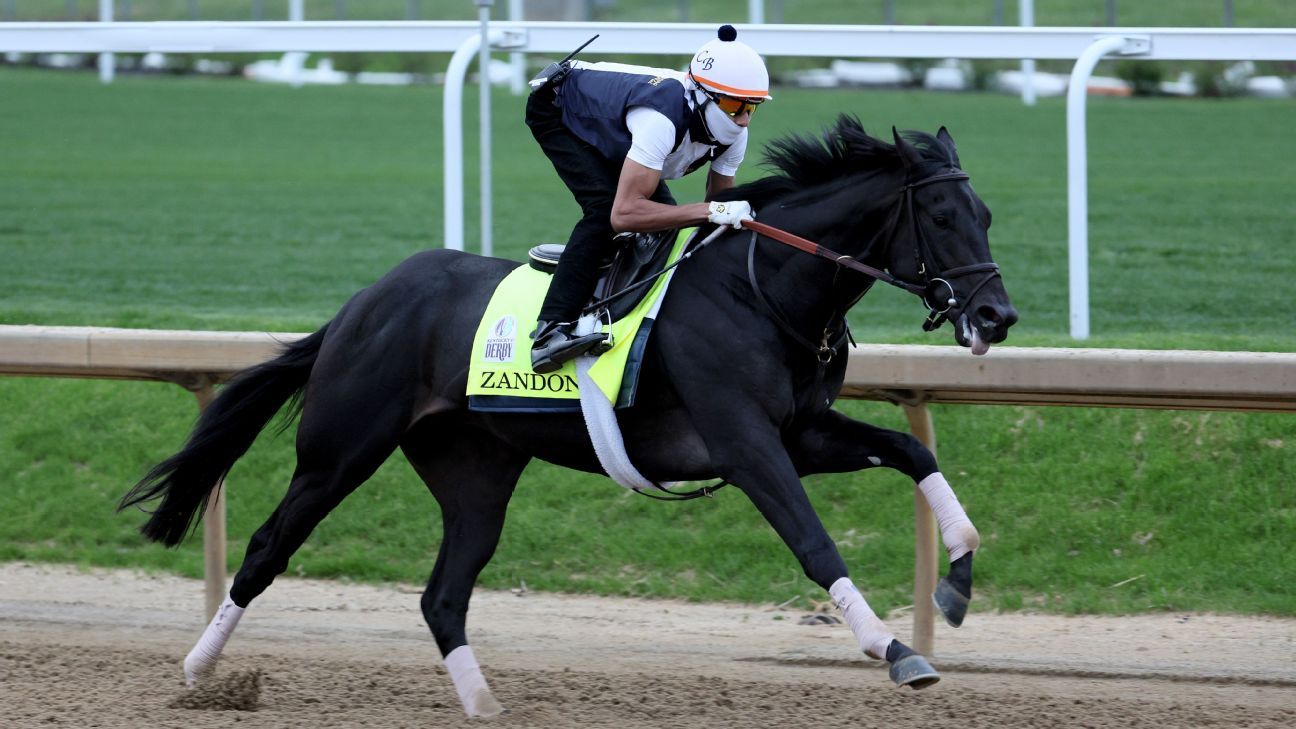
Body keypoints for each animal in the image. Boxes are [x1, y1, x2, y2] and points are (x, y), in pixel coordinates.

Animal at [119, 119, 1010, 716]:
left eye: (988, 215)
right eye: (942, 218)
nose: (996, 316)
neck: (764, 288)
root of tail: (362, 303)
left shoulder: (802, 431)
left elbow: (911, 451)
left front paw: (958, 579)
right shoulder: (745, 443)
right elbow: (813, 539)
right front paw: (895, 648)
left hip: (475, 471)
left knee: (443, 594)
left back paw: (483, 703)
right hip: (340, 449)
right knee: (268, 548)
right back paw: (199, 672)